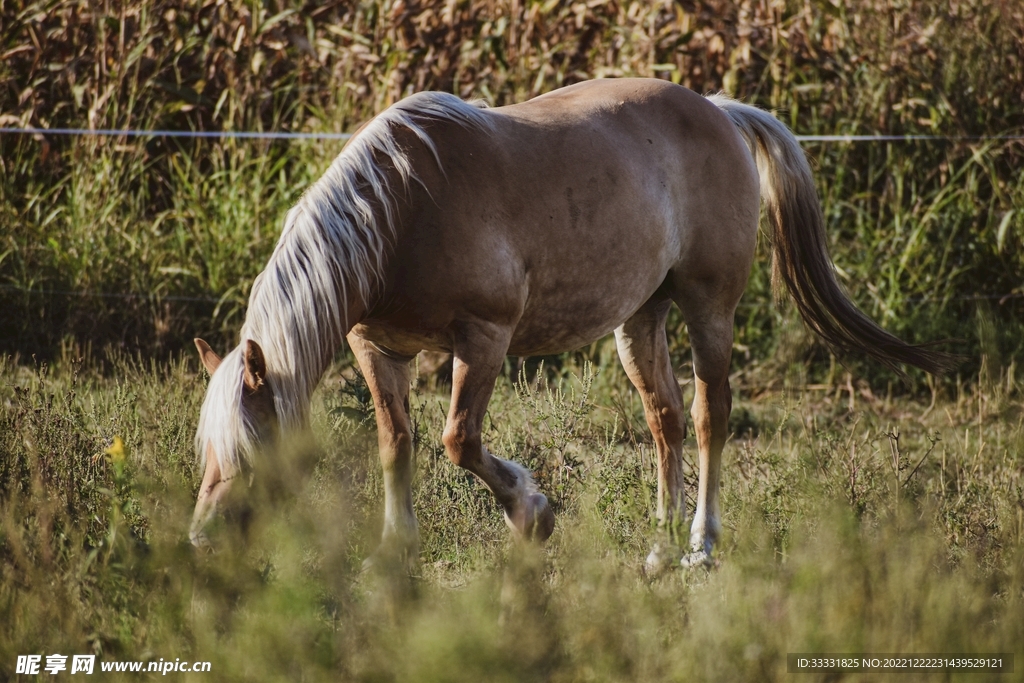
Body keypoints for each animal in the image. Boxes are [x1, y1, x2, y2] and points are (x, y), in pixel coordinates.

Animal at [189, 78, 952, 569]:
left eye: (251, 450)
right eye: (206, 449)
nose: (202, 539)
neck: (400, 211)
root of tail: (718, 111)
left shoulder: (484, 338)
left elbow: (459, 440)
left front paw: (534, 513)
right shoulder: (378, 349)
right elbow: (395, 443)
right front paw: (394, 552)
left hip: (709, 306)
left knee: (710, 415)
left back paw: (700, 545)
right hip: (640, 319)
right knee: (664, 419)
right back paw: (658, 545)